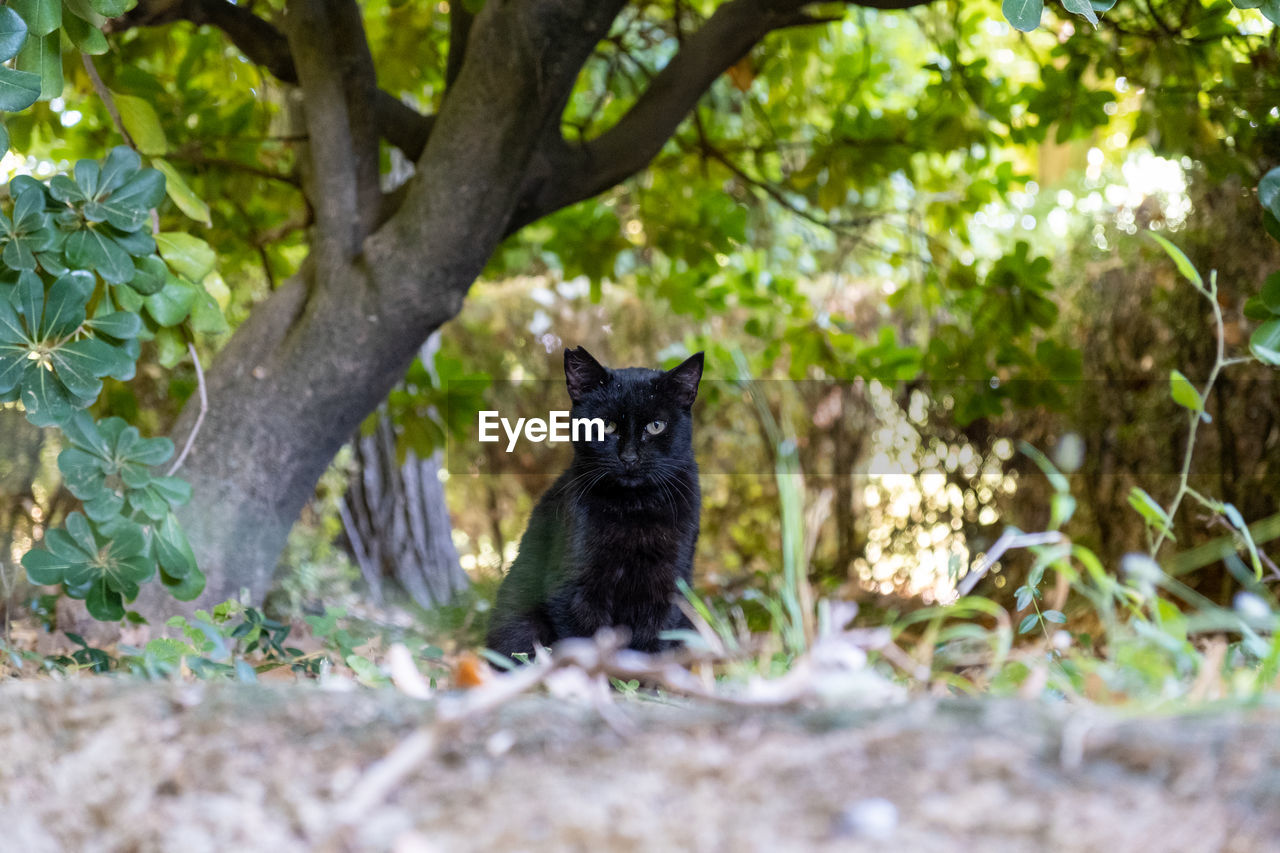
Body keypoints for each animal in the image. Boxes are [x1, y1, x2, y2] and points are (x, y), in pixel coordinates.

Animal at [481, 345, 701, 655]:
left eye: (656, 426)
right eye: (606, 425)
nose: (629, 458)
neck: (632, 508)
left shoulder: (667, 584)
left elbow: (653, 642)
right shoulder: (577, 587)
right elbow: (585, 641)